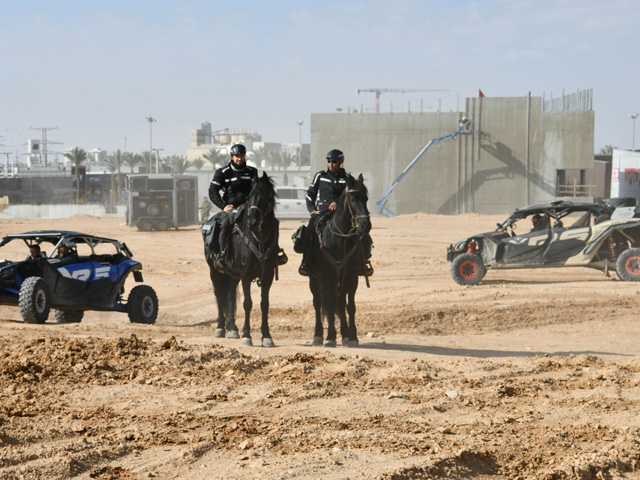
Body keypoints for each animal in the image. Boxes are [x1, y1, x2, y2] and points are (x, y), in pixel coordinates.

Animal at [204, 172, 282, 344]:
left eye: (266, 196)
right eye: (250, 196)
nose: (252, 221)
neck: (258, 239)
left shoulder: (268, 275)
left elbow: (264, 304)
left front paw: (267, 336)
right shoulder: (246, 275)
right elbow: (248, 303)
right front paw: (247, 335)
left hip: (233, 275)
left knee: (230, 295)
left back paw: (232, 328)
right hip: (214, 271)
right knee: (219, 295)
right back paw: (220, 328)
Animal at [308, 174, 372, 346]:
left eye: (366, 198)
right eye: (353, 198)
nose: (365, 225)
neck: (340, 239)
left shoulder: (351, 276)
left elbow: (350, 306)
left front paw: (352, 337)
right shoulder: (328, 276)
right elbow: (330, 305)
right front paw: (330, 336)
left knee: (341, 302)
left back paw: (344, 334)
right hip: (314, 278)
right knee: (317, 303)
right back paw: (318, 335)